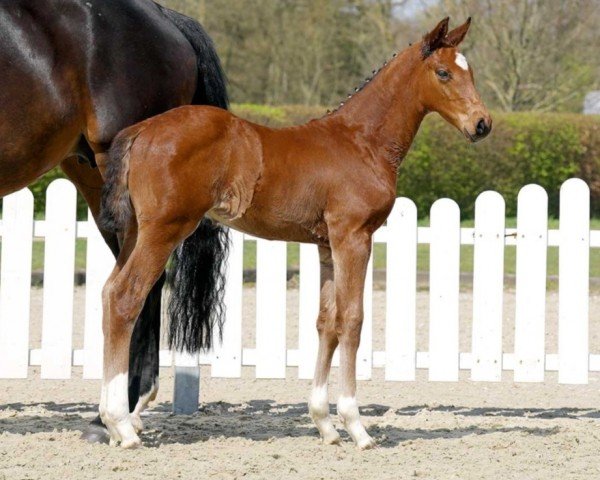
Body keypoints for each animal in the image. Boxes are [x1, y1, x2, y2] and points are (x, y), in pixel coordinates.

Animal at [99, 16, 492, 448]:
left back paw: (112, 420)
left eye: (470, 71)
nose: (482, 125)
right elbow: (352, 319)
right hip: (164, 230)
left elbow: (327, 322)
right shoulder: (354, 237)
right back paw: (122, 425)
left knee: (108, 292)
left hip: (135, 232)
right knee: (126, 297)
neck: (363, 141)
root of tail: (141, 131)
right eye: (444, 73)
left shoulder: (327, 245)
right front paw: (356, 426)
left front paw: (325, 424)